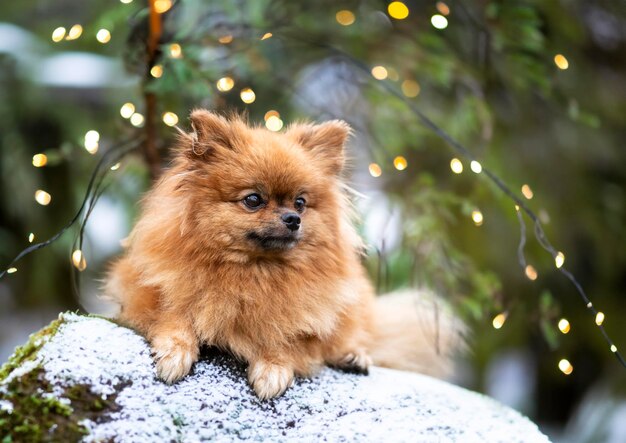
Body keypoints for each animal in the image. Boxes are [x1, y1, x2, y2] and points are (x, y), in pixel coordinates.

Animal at [103, 110, 464, 398]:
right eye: (253, 200)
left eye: (300, 202)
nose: (293, 218)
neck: (253, 272)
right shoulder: (145, 291)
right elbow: (173, 316)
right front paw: (175, 352)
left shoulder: (304, 318)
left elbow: (286, 338)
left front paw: (273, 367)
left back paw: (353, 356)